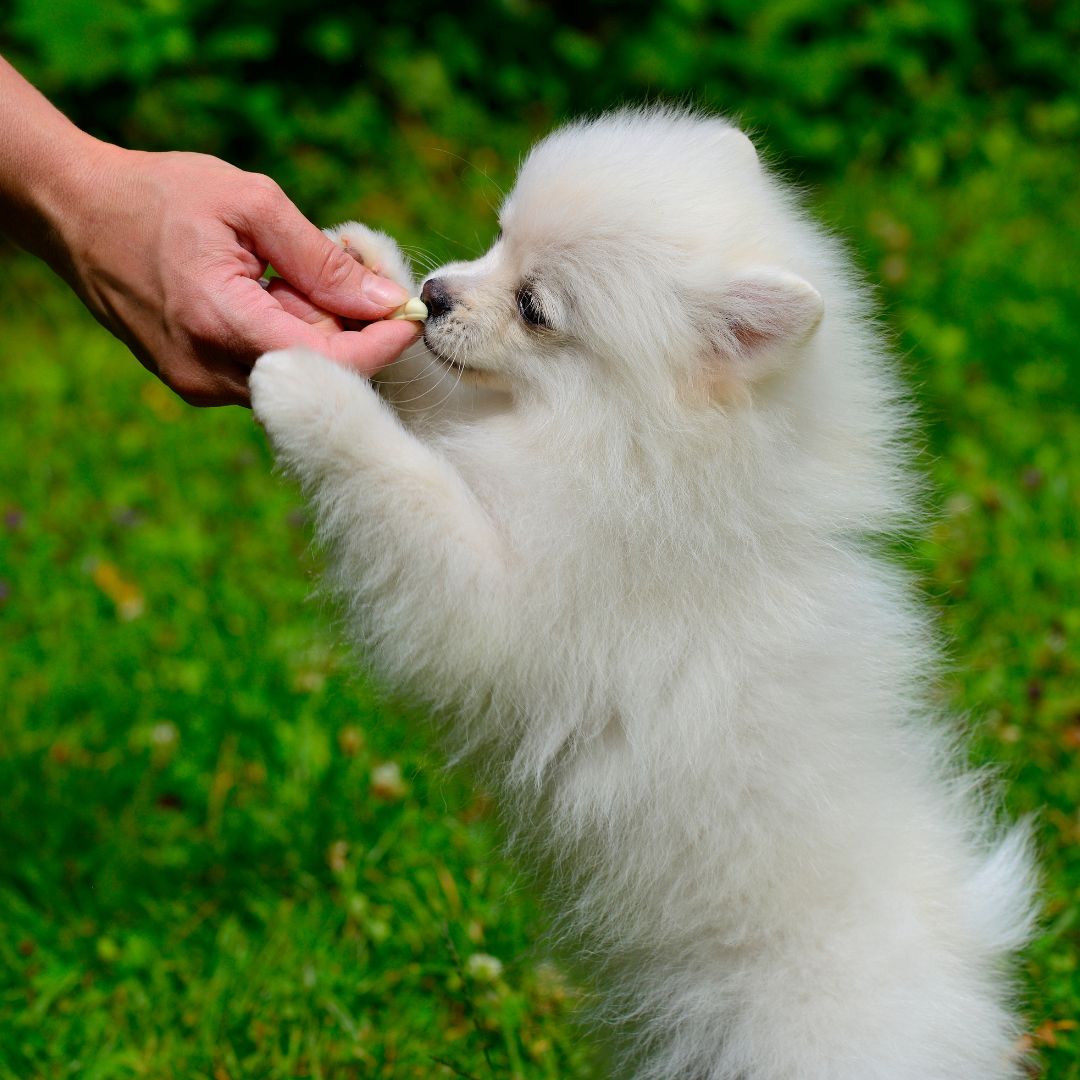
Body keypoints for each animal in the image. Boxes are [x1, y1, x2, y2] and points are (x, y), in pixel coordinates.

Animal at [250, 109, 1036, 1080]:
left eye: (535, 307)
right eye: (499, 236)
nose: (434, 294)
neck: (632, 444)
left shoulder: (502, 599)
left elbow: (404, 483)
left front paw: (305, 386)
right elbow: (432, 400)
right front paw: (368, 267)